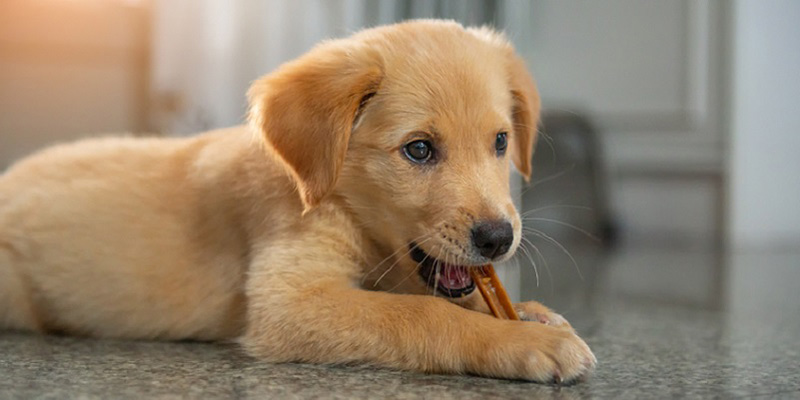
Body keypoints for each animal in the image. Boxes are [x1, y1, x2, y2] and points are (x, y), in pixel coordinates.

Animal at [0, 20, 592, 382]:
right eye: (419, 149)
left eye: (501, 142)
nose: (498, 239)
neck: (341, 200)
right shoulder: (289, 298)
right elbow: (422, 314)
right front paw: (523, 341)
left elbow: (441, 297)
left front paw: (533, 316)